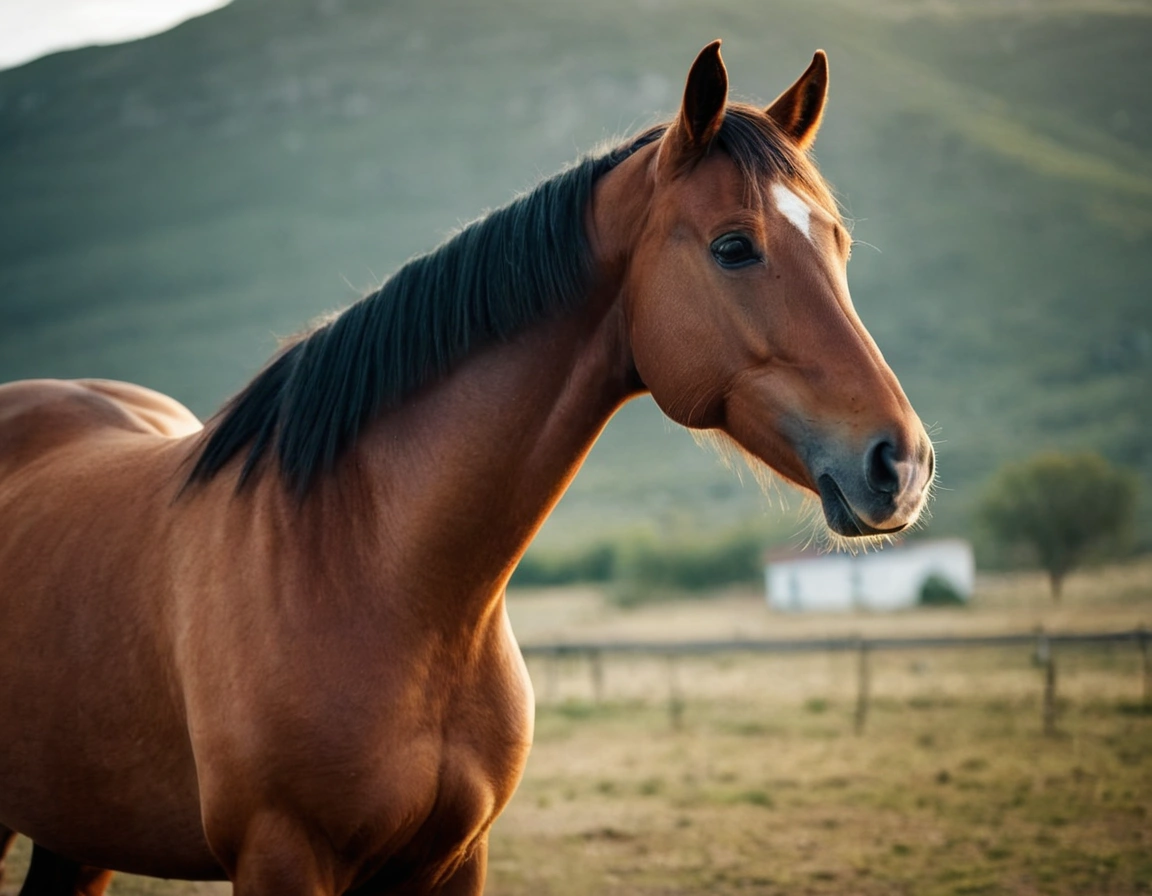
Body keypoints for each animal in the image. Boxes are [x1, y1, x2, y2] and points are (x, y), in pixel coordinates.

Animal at [0, 42, 930, 893]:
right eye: (735, 247)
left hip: (76, 835)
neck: (368, 571)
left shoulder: (452, 859)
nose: (903, 463)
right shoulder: (279, 856)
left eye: (840, 244)